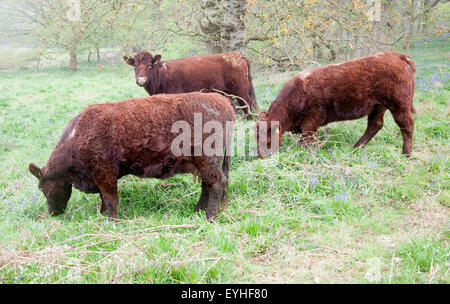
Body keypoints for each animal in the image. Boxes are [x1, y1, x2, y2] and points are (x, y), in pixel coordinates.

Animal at [29, 92, 236, 221]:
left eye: (43, 189)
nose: (53, 213)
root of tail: (222, 101)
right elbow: (104, 200)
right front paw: (103, 216)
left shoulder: (105, 174)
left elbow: (110, 200)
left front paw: (112, 221)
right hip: (204, 163)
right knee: (207, 184)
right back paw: (198, 210)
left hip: (207, 160)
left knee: (216, 183)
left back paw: (210, 216)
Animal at [123, 51, 258, 117]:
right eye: (135, 66)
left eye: (150, 66)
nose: (141, 80)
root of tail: (238, 55)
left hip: (241, 90)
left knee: (248, 106)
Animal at [255, 52, 416, 158]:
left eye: (267, 140)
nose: (261, 156)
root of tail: (399, 56)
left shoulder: (310, 121)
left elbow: (306, 141)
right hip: (378, 106)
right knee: (375, 125)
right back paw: (356, 147)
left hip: (399, 105)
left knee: (407, 125)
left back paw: (406, 153)